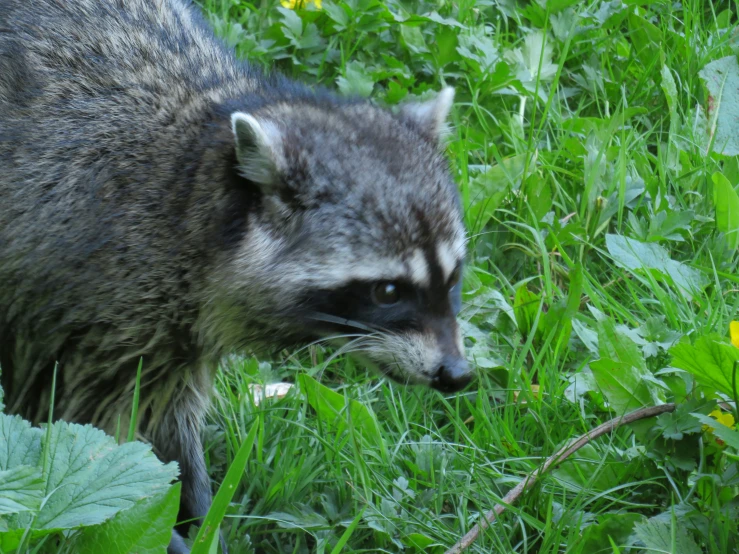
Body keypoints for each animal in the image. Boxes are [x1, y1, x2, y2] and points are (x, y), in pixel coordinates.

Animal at [0, 1, 474, 548]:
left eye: (453, 277)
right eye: (389, 291)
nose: (458, 374)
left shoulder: (169, 336)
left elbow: (165, 433)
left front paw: (198, 511)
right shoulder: (85, 299)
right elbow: (89, 437)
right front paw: (168, 533)